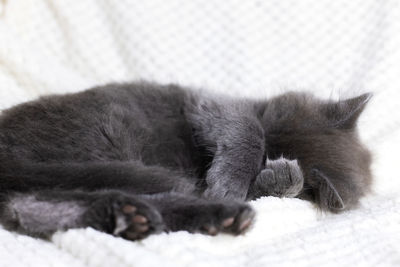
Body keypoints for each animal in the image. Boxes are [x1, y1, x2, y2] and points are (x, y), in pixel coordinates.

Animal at [0, 82, 372, 241]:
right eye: (272, 119)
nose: (270, 161)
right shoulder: (210, 103)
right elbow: (245, 127)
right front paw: (228, 184)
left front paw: (280, 178)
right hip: (106, 139)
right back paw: (221, 212)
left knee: (32, 209)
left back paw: (129, 219)